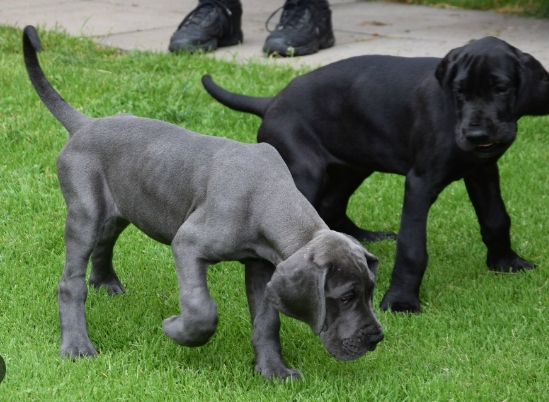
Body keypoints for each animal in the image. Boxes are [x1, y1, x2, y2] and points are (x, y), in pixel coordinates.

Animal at [21, 25, 382, 380]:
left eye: (371, 290)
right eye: (345, 297)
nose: (376, 339)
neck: (268, 198)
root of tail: (85, 124)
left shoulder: (261, 265)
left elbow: (268, 321)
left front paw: (272, 370)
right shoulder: (188, 243)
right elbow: (202, 310)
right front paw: (176, 329)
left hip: (123, 205)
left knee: (105, 241)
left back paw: (105, 283)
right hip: (85, 211)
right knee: (70, 282)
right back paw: (76, 346)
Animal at [203, 37, 548, 314]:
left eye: (501, 89)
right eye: (460, 92)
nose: (476, 135)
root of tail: (271, 102)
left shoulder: (482, 170)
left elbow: (496, 219)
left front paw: (506, 263)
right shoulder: (420, 182)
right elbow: (412, 247)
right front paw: (401, 301)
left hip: (353, 165)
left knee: (331, 206)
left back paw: (362, 238)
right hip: (305, 170)